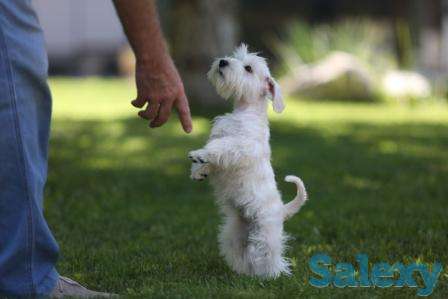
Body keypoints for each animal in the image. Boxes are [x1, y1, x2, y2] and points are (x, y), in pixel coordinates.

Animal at [188, 44, 308, 278]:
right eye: (235, 58)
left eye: (249, 68)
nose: (223, 62)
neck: (244, 112)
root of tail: (282, 210)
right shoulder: (222, 142)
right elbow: (214, 155)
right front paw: (199, 171)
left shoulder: (240, 147)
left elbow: (219, 147)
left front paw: (199, 154)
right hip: (233, 234)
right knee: (243, 255)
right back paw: (243, 273)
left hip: (266, 234)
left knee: (270, 257)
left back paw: (270, 276)